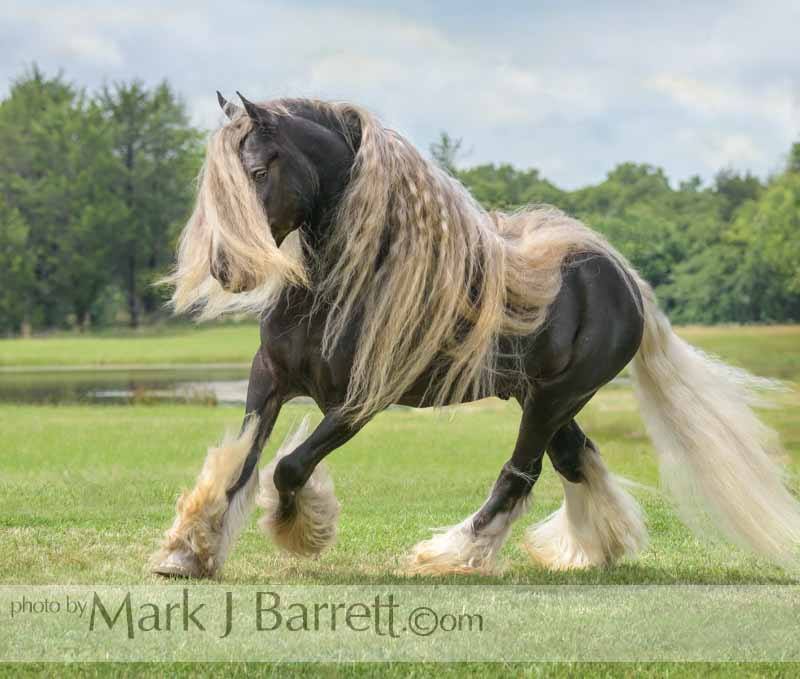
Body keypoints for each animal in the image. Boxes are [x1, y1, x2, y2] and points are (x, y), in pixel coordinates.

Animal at [150, 90, 800, 580]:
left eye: (260, 170)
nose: (227, 269)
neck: (346, 280)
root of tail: (625, 281)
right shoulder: (270, 379)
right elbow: (241, 463)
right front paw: (189, 551)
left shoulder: (359, 402)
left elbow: (288, 468)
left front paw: (302, 530)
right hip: (542, 397)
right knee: (574, 458)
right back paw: (596, 547)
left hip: (554, 398)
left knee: (521, 473)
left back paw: (450, 554)